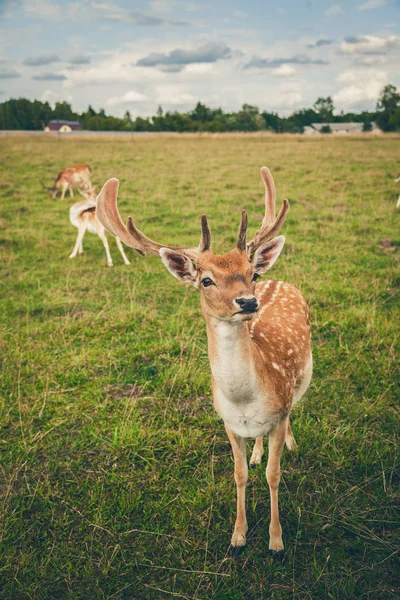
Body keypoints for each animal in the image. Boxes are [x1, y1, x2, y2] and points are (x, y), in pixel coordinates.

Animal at [94, 168, 312, 556]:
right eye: (206, 280)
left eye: (251, 274)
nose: (248, 302)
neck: (245, 399)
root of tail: (281, 279)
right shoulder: (228, 422)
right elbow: (240, 474)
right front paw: (238, 536)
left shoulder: (279, 409)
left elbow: (273, 475)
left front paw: (276, 541)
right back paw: (256, 453)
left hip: (301, 383)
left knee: (292, 416)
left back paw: (290, 443)